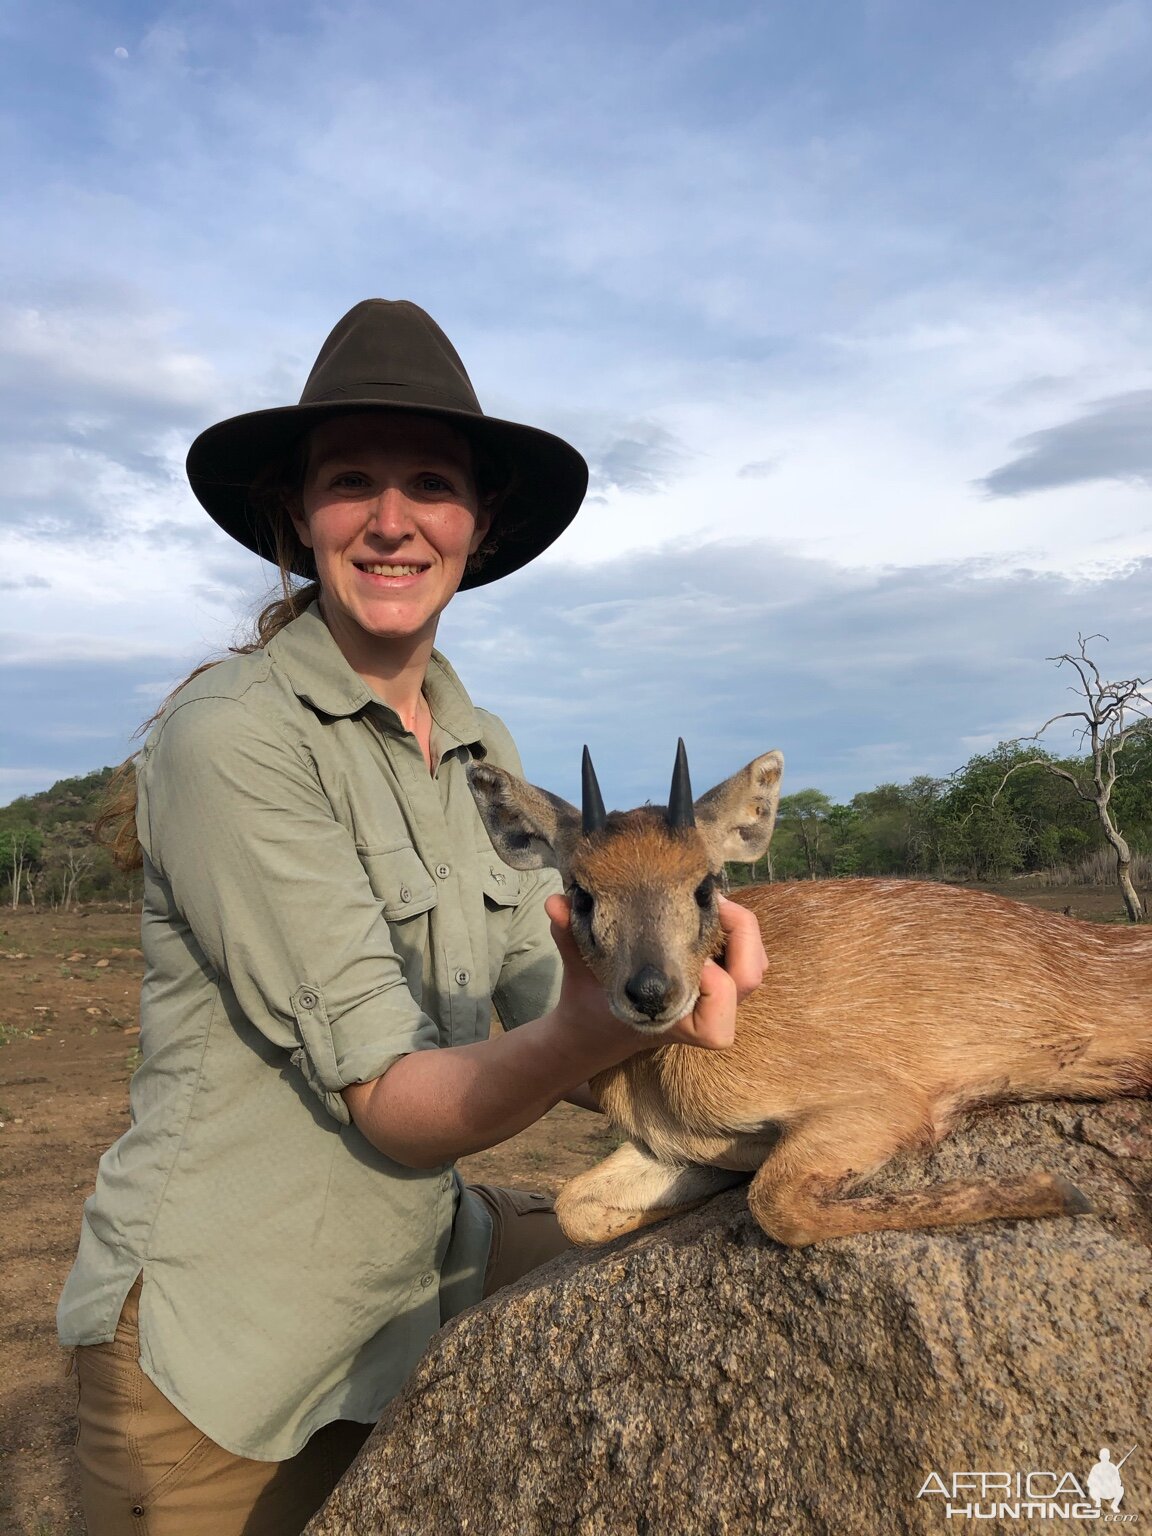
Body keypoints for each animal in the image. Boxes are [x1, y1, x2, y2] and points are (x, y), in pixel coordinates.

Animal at [470, 743, 1152, 1247]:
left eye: (706, 885)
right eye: (581, 893)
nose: (651, 991)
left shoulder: (884, 1105)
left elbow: (775, 1206)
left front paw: (1059, 1189)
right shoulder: (683, 1152)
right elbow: (575, 1206)